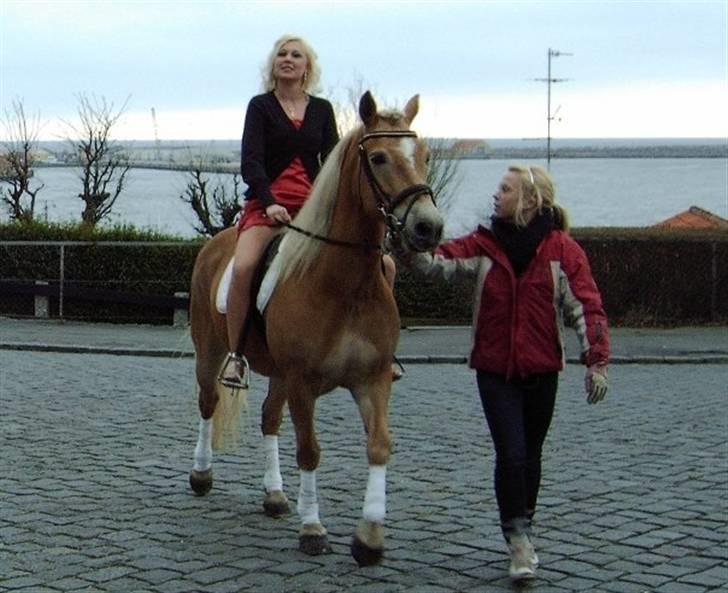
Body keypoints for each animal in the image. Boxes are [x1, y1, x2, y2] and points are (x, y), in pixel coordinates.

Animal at [188, 92, 444, 564]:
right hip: (212, 352)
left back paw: (274, 495)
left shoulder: (372, 380)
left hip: (279, 374)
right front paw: (312, 529)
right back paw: (201, 474)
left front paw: (369, 537)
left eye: (424, 156)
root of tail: (217, 243)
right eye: (378, 158)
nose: (428, 227)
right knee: (209, 403)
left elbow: (379, 444)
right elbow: (309, 451)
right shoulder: (303, 383)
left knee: (269, 417)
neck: (345, 285)